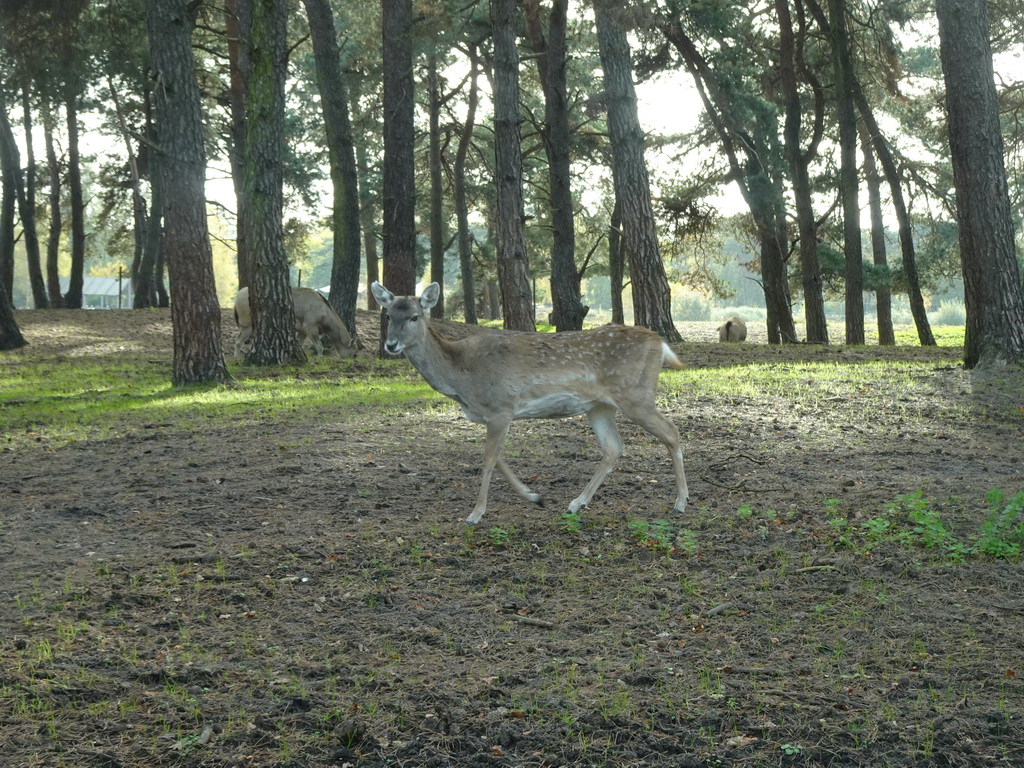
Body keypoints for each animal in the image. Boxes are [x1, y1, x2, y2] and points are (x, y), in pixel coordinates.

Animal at [368, 282, 688, 528]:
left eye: (414, 317)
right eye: (388, 315)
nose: (391, 345)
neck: (461, 379)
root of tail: (660, 342)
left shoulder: (501, 407)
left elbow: (488, 461)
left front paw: (475, 514)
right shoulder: (494, 414)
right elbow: (498, 459)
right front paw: (534, 496)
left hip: (636, 394)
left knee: (671, 432)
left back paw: (681, 502)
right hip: (599, 406)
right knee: (613, 447)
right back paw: (576, 503)